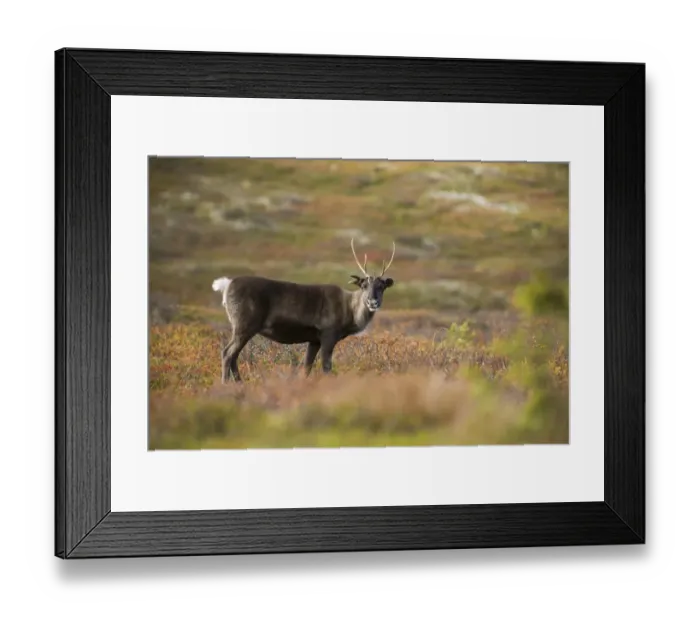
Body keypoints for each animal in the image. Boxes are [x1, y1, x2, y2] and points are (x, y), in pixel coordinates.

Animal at [212, 239, 396, 383]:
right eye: (364, 285)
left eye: (382, 287)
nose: (373, 301)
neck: (349, 311)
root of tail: (226, 285)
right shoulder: (328, 334)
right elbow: (326, 367)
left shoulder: (314, 340)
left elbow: (306, 367)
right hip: (244, 325)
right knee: (227, 353)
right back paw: (226, 385)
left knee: (234, 355)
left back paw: (239, 383)